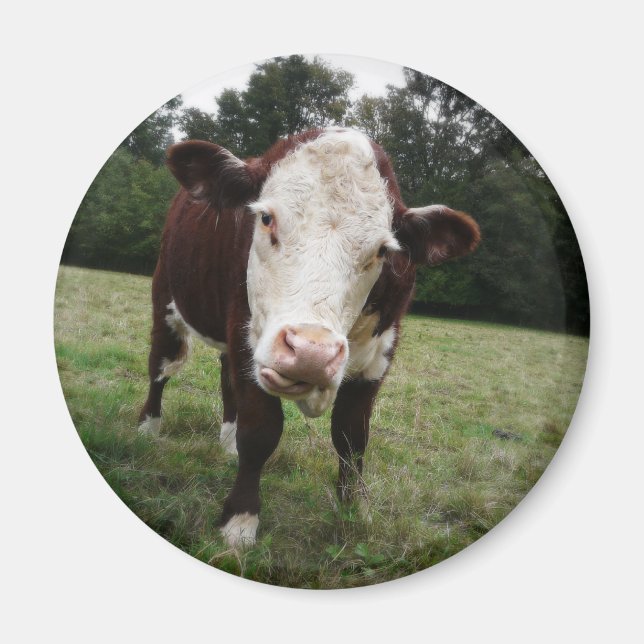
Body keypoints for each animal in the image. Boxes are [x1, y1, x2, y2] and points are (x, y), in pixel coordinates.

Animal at [138, 128, 480, 548]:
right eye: (266, 218)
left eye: (383, 250)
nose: (311, 353)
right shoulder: (246, 335)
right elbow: (261, 432)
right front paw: (240, 521)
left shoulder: (378, 357)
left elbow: (352, 438)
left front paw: (355, 510)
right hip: (166, 299)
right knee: (161, 367)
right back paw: (147, 429)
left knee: (225, 379)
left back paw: (227, 441)